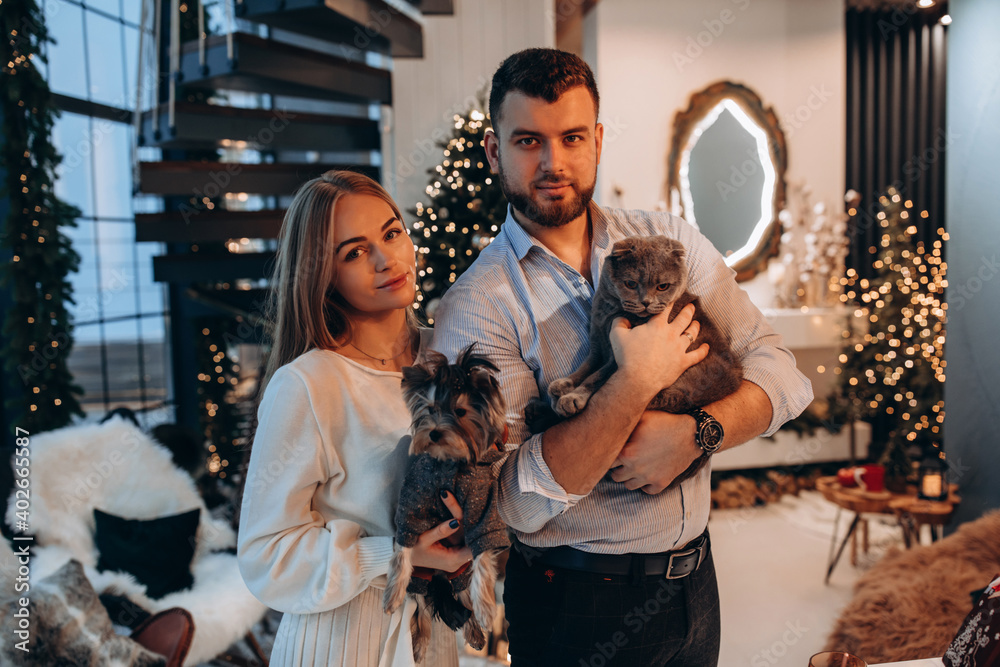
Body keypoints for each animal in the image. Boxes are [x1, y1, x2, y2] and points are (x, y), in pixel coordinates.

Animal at [380, 344, 508, 664]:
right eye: (430, 410)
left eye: (460, 412)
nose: (435, 432)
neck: (448, 462)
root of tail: (439, 576)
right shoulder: (412, 503)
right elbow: (403, 549)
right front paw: (392, 594)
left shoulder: (483, 509)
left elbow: (483, 552)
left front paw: (487, 610)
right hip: (422, 574)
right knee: (421, 606)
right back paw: (419, 643)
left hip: (458, 571)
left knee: (463, 594)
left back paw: (475, 631)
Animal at [528, 237, 740, 488]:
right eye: (630, 283)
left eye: (662, 286)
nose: (646, 302)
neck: (609, 312)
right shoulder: (597, 344)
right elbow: (586, 367)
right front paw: (564, 385)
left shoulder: (616, 358)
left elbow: (595, 378)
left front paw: (572, 397)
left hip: (669, 392)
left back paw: (544, 412)